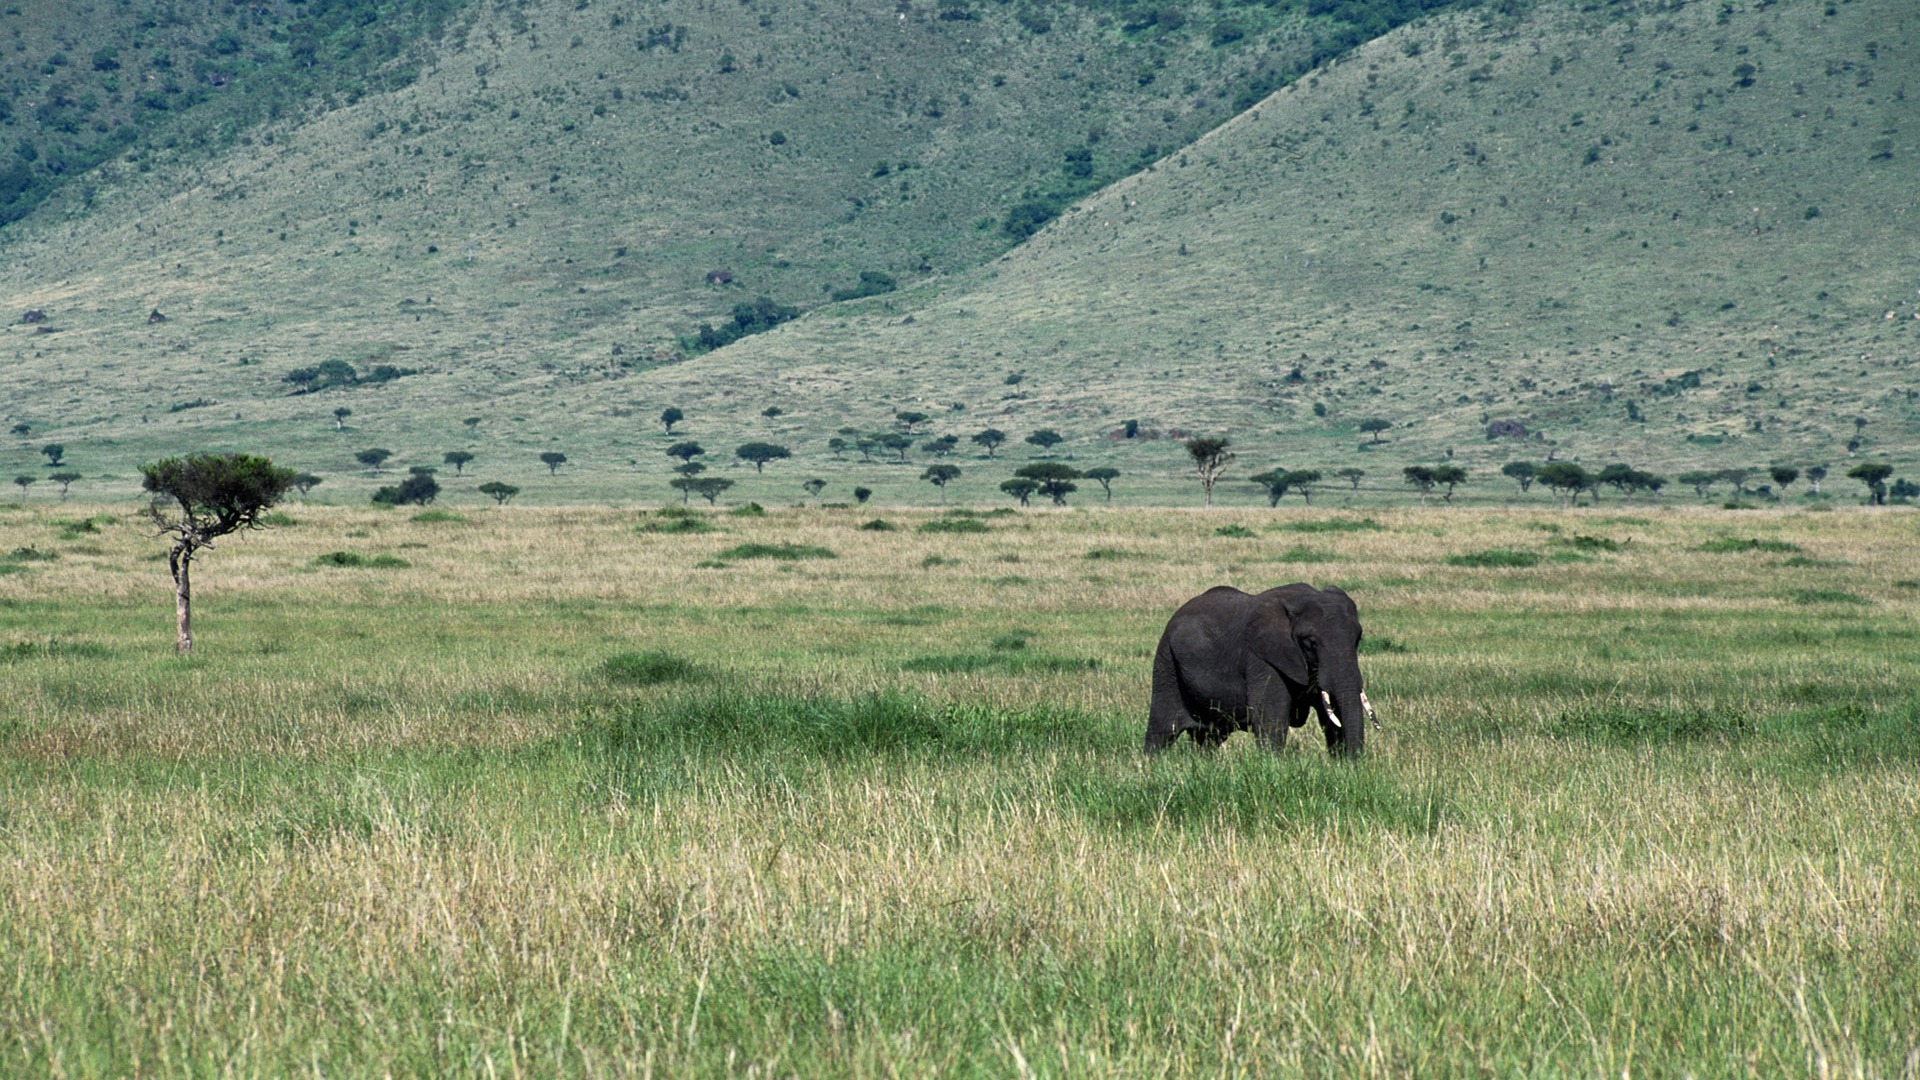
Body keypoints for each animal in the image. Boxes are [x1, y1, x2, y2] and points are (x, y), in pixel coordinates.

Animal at [1144, 584, 1374, 753]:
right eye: (1310, 643)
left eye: (1358, 638)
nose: (1355, 764)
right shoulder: (1262, 659)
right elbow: (1271, 718)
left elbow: (1332, 716)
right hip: (1166, 662)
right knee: (1162, 730)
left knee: (1209, 738)